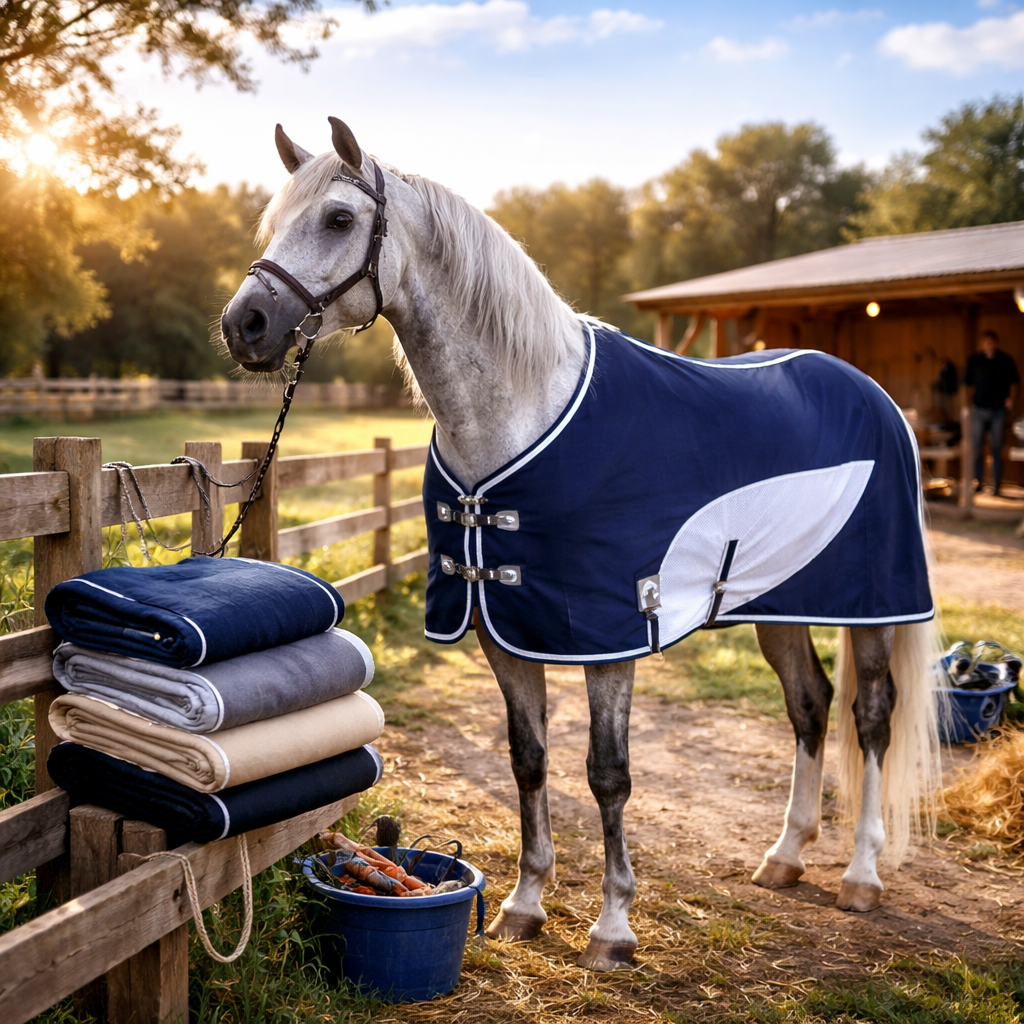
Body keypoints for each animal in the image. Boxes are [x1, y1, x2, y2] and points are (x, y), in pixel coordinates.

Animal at [221, 118, 943, 972]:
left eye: (337, 219)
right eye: (273, 224)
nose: (243, 325)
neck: (521, 414)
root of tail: (873, 395)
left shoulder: (610, 638)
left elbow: (608, 773)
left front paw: (613, 926)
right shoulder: (501, 629)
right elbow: (528, 759)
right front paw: (524, 904)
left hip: (876, 611)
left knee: (871, 718)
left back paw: (861, 875)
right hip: (779, 606)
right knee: (810, 706)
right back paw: (786, 856)